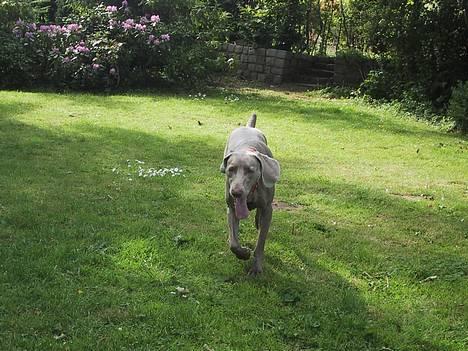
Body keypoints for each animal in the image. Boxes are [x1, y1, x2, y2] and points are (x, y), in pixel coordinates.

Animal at [220, 115, 282, 276]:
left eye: (250, 170)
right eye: (231, 169)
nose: (236, 192)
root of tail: (248, 126)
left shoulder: (268, 209)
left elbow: (260, 242)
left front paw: (256, 267)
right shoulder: (231, 207)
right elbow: (233, 243)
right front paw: (243, 254)